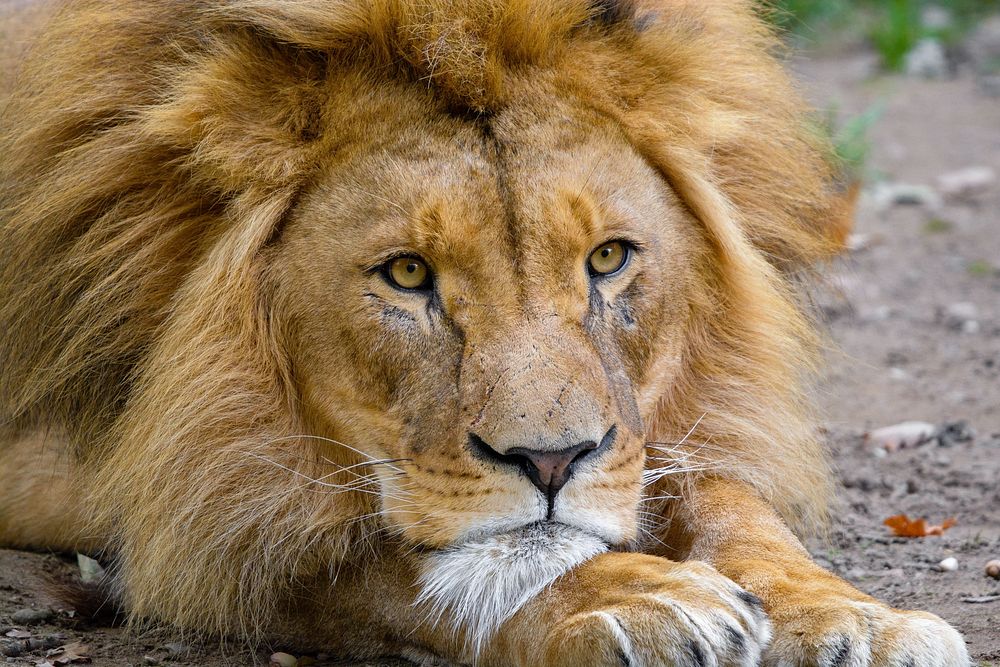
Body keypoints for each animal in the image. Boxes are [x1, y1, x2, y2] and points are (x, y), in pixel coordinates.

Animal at [0, 1, 968, 667]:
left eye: (608, 258)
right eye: (406, 274)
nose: (551, 460)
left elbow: (733, 504)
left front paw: (851, 618)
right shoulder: (179, 491)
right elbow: (405, 561)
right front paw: (639, 598)